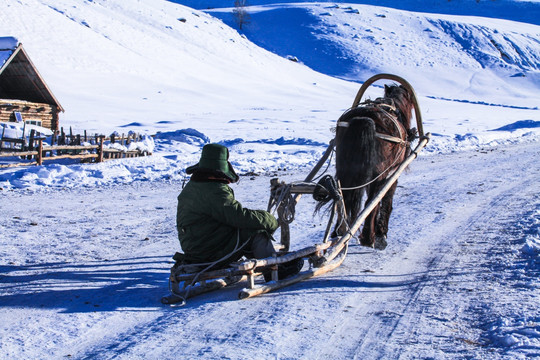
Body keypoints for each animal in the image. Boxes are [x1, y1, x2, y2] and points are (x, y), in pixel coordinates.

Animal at [324, 83, 414, 249]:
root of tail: (365, 119)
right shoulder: (393, 173)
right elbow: (386, 200)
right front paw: (381, 233)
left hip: (344, 168)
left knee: (342, 196)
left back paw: (339, 231)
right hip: (379, 173)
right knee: (371, 201)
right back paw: (368, 238)